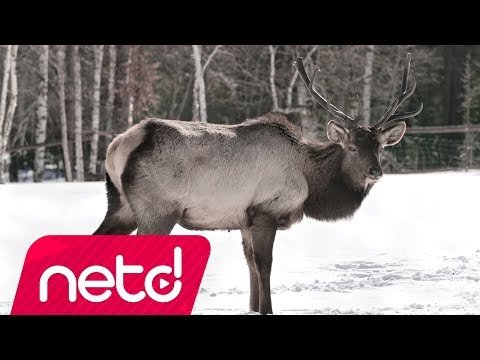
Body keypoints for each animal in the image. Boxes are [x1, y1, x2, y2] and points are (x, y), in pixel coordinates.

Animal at [94, 52, 424, 314]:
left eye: (380, 147)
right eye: (352, 147)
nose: (375, 172)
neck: (311, 183)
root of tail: (118, 146)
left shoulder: (244, 220)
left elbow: (250, 263)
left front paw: (253, 307)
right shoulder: (266, 210)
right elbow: (264, 265)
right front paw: (267, 309)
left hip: (121, 206)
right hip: (158, 209)